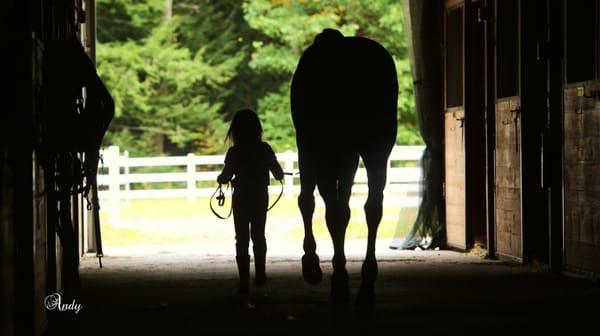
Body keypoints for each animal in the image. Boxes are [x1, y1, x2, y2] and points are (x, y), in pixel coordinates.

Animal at [292, 28, 398, 308]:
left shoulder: (311, 150)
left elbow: (310, 203)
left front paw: (314, 266)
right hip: (375, 149)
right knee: (372, 208)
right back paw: (366, 287)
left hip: (326, 152)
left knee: (334, 209)